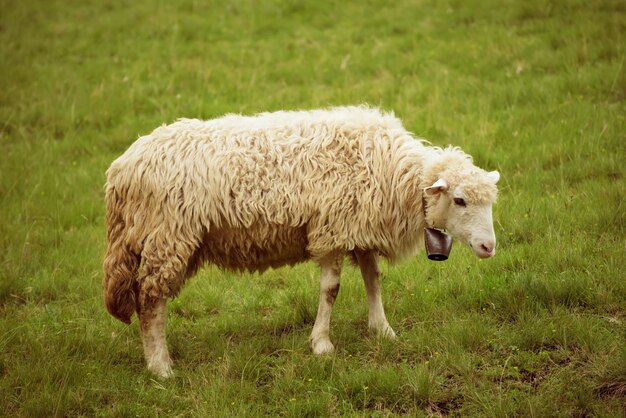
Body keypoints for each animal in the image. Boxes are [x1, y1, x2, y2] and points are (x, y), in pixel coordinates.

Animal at [105, 103, 500, 376]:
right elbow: (331, 290)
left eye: (490, 202)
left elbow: (373, 281)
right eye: (460, 200)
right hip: (166, 238)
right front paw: (322, 344)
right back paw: (161, 367)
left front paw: (383, 330)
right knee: (150, 300)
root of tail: (123, 169)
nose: (488, 247)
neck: (391, 172)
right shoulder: (332, 230)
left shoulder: (359, 228)